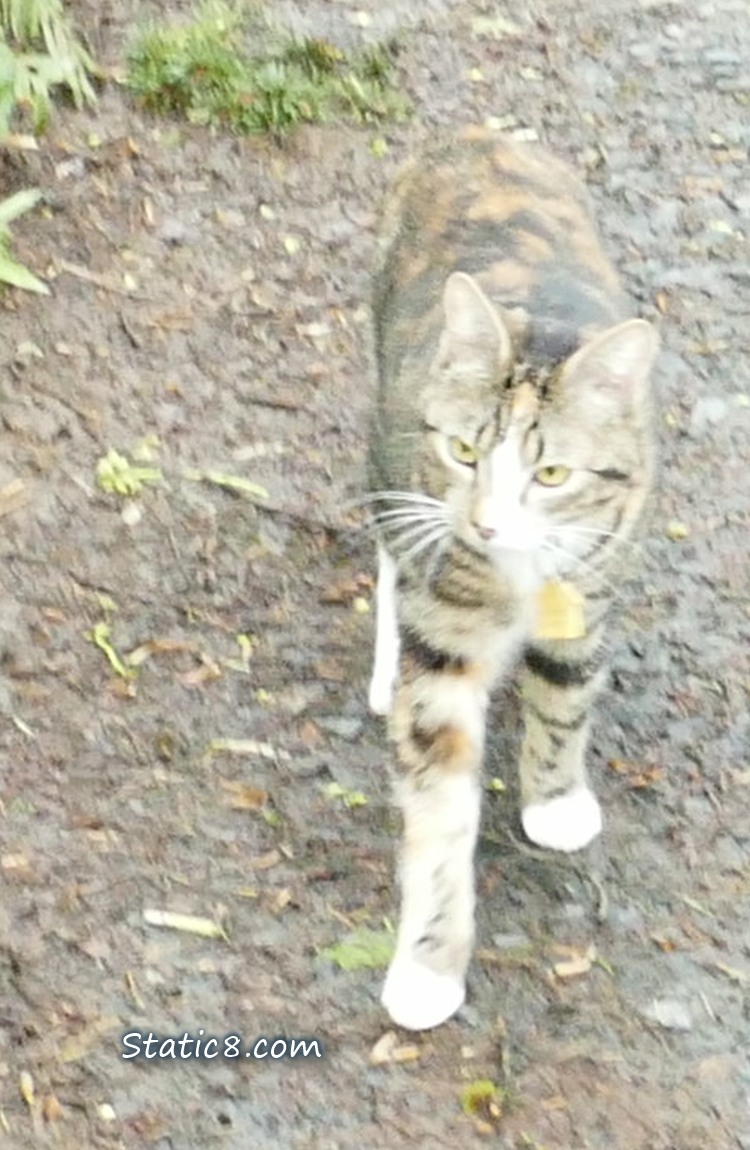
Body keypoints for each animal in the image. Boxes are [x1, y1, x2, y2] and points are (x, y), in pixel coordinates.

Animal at [365, 128, 657, 1035]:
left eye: (553, 472)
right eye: (464, 452)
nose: (487, 525)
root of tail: (479, 138)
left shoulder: (592, 579)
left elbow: (565, 695)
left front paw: (555, 797)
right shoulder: (443, 629)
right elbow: (439, 807)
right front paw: (429, 963)